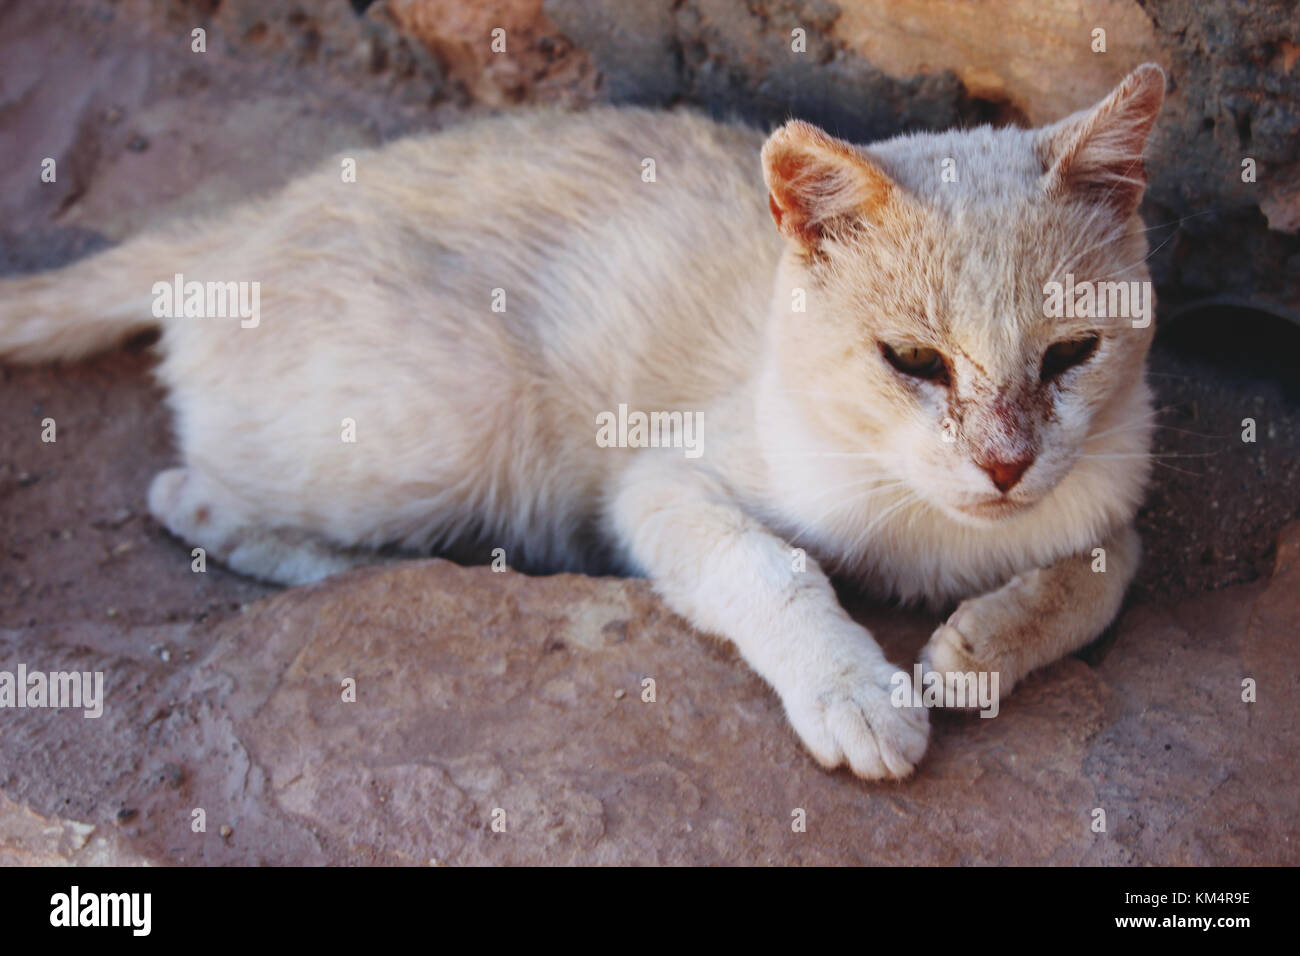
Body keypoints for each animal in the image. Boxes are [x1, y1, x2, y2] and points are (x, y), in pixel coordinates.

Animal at [2, 59, 1170, 780]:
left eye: (1070, 354)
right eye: (914, 362)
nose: (1005, 464)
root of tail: (239, 226)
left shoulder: (1110, 483)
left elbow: (1109, 565)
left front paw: (977, 645)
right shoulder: (660, 482)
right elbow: (774, 568)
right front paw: (857, 691)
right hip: (462, 411)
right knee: (187, 495)